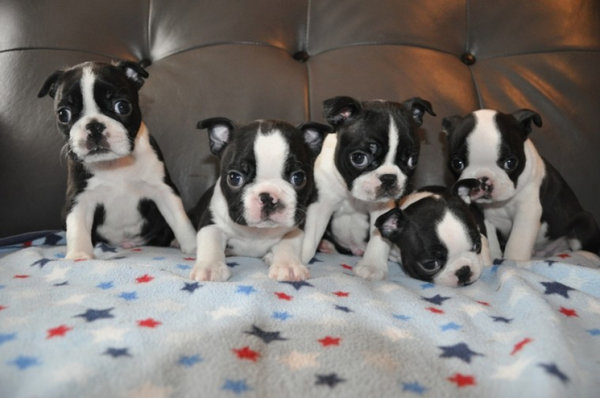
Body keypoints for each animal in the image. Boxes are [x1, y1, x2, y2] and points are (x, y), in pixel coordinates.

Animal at [38, 60, 197, 260]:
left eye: (122, 106)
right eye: (63, 114)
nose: (94, 126)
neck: (114, 165)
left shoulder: (163, 190)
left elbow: (180, 220)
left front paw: (195, 248)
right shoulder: (79, 198)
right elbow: (77, 228)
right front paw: (79, 256)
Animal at [190, 116, 330, 282]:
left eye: (298, 178)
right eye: (234, 178)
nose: (268, 197)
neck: (257, 232)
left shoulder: (295, 228)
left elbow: (288, 244)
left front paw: (288, 266)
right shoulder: (211, 221)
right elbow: (210, 241)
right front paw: (210, 268)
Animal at [300, 95, 436, 280]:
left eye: (412, 160)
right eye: (359, 158)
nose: (389, 178)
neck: (350, 192)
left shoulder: (383, 208)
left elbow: (378, 238)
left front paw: (372, 266)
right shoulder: (321, 204)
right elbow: (311, 235)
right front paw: (297, 258)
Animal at [440, 108, 600, 262]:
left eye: (510, 163)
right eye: (457, 163)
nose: (483, 180)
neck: (500, 204)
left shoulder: (527, 211)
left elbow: (517, 243)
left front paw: (512, 262)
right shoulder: (482, 215)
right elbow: (491, 240)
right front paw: (494, 258)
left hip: (584, 223)